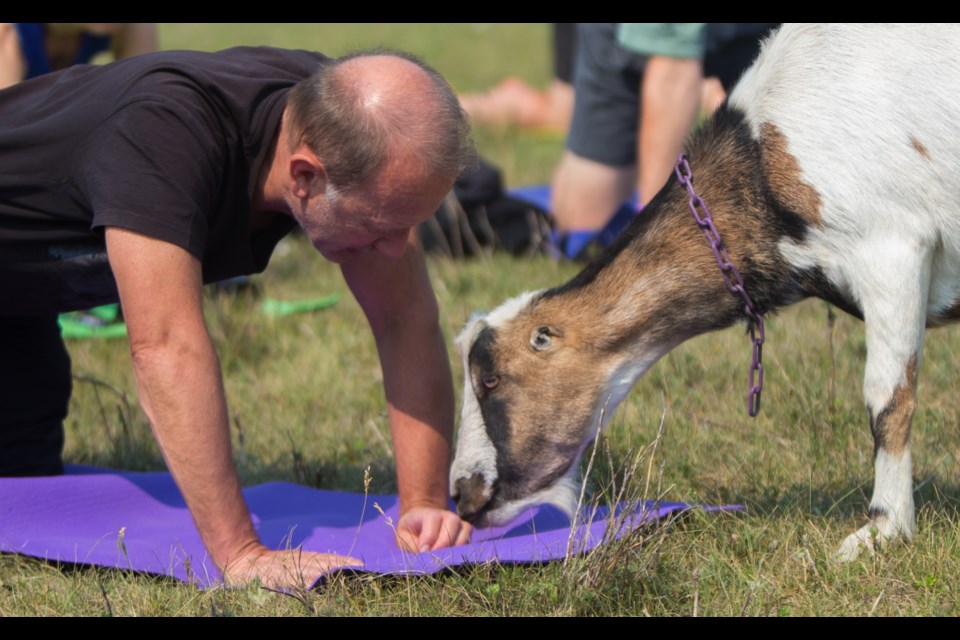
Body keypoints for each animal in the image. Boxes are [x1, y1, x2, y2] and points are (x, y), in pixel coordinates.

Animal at [448, 23, 960, 560]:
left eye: (491, 380)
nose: (462, 493)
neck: (762, 162)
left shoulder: (893, 247)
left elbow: (887, 398)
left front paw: (884, 529)